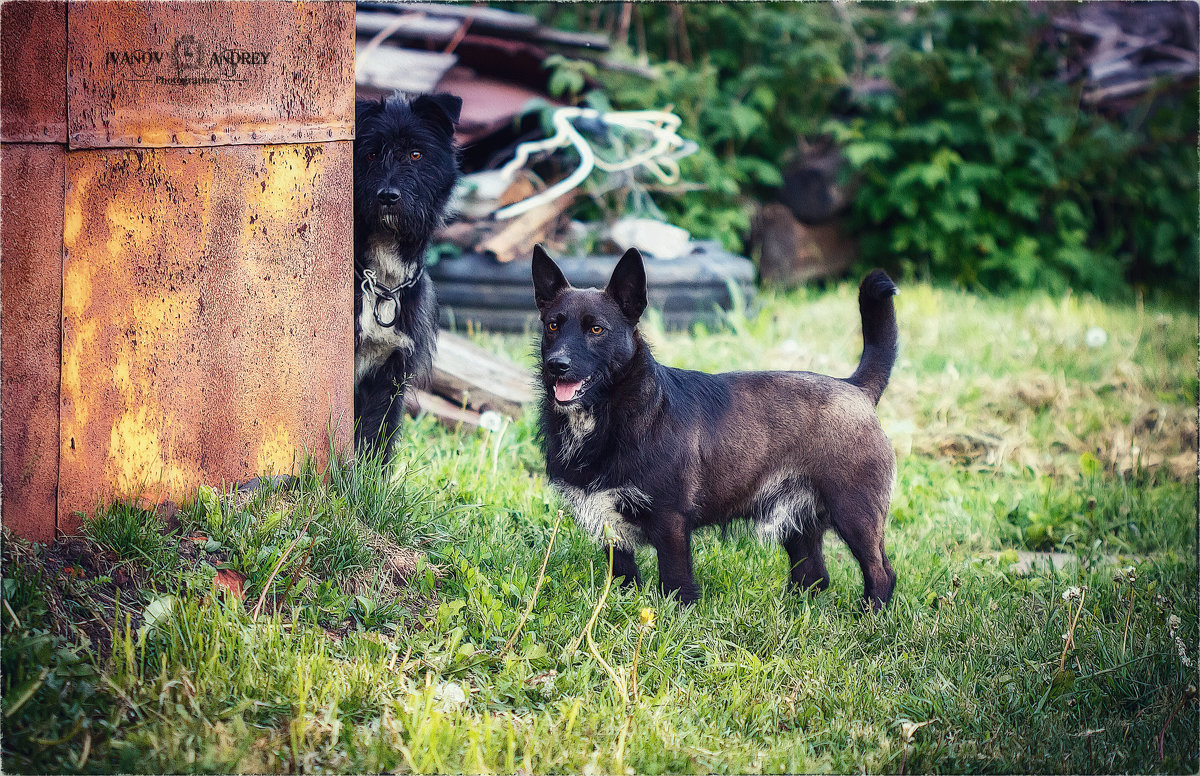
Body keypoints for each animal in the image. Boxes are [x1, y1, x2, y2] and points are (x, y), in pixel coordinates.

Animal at [352, 91, 460, 455]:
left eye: (415, 154)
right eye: (371, 153)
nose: (388, 196)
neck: (383, 284)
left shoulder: (392, 374)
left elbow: (376, 439)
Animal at [535, 245, 902, 609]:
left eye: (596, 329)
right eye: (552, 326)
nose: (556, 365)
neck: (617, 411)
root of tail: (855, 388)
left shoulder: (670, 521)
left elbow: (676, 582)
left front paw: (676, 618)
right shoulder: (611, 527)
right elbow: (624, 577)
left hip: (856, 515)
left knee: (881, 572)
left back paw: (870, 616)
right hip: (797, 520)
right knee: (813, 574)